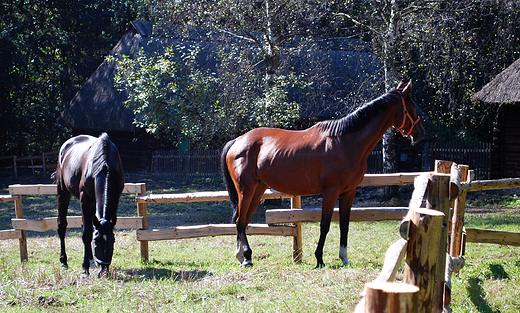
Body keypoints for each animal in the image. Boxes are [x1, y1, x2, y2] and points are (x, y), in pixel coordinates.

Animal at [55, 132, 125, 276]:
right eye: (96, 243)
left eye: (112, 241)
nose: (103, 271)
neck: (105, 165)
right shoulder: (85, 199)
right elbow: (87, 233)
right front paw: (84, 270)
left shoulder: (115, 199)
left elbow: (89, 231)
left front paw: (89, 264)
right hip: (63, 193)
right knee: (62, 225)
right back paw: (64, 262)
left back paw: (91, 260)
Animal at [221, 80, 424, 266]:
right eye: (412, 106)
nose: (421, 133)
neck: (346, 142)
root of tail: (237, 140)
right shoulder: (331, 191)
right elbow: (325, 224)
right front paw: (319, 258)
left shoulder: (348, 192)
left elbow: (344, 224)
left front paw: (344, 258)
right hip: (246, 190)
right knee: (240, 220)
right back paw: (247, 257)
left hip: (258, 190)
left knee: (242, 220)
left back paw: (241, 256)